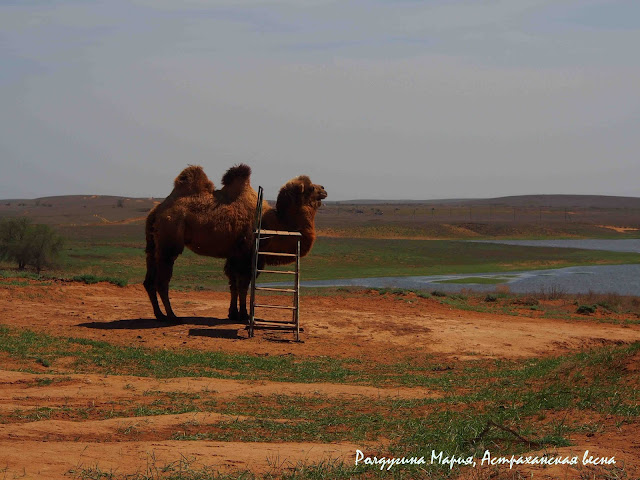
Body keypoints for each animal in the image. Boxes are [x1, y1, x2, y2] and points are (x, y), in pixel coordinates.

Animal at [144, 163, 324, 324]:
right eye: (311, 188)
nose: (323, 189)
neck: (273, 224)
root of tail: (157, 211)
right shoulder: (247, 254)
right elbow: (243, 285)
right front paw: (244, 315)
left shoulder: (235, 255)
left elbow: (234, 285)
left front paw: (233, 313)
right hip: (169, 241)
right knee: (162, 281)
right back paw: (172, 316)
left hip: (153, 246)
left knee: (149, 281)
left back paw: (159, 315)